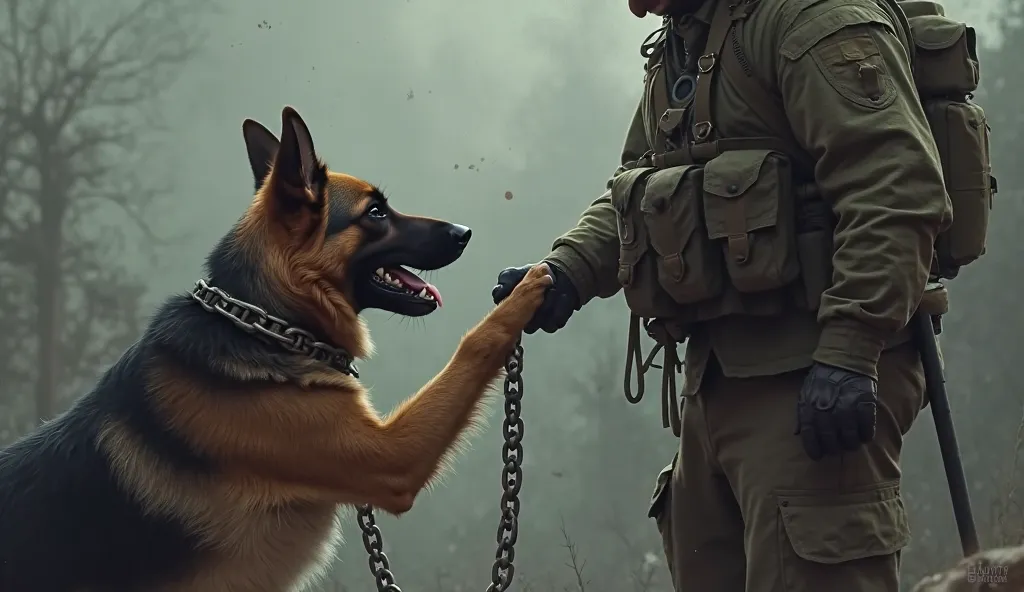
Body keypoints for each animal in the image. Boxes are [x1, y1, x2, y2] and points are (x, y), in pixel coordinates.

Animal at [0, 107, 552, 589]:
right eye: (376, 213)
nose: (465, 233)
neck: (265, 323)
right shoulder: (392, 457)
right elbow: (475, 343)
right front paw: (527, 290)